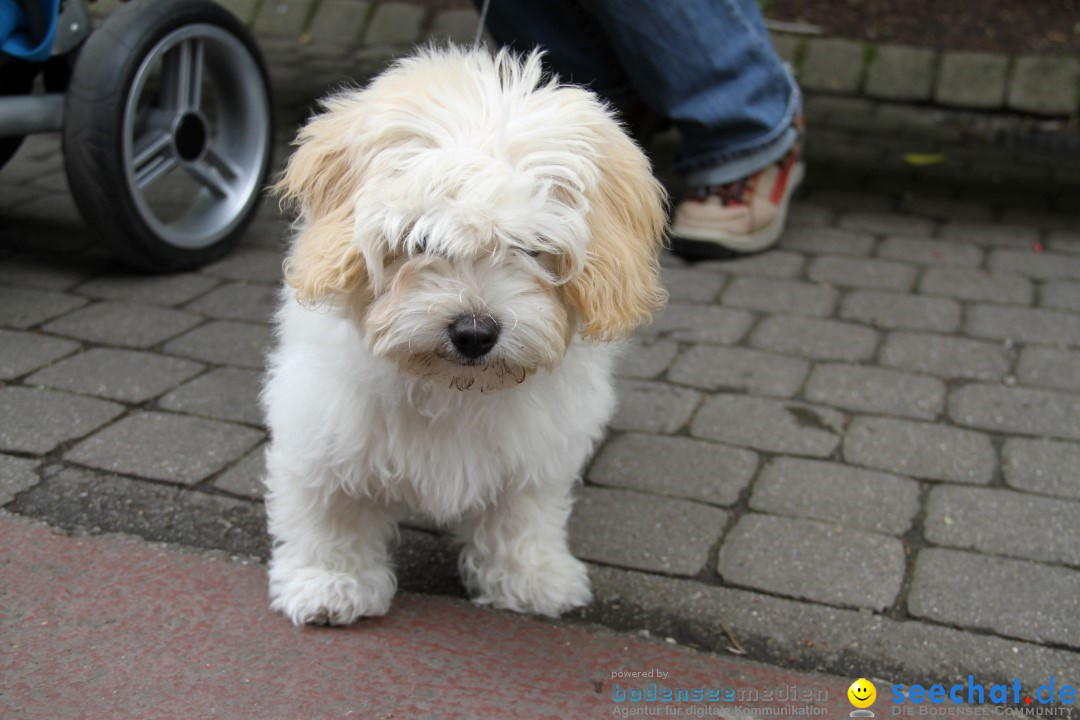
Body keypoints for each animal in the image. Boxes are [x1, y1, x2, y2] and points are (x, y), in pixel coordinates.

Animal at [261, 49, 665, 626]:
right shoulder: (325, 422)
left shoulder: (537, 447)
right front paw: (330, 583)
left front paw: (530, 577)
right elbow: (331, 509)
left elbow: (523, 513)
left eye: (531, 248)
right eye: (421, 239)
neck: (451, 390)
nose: (474, 333)